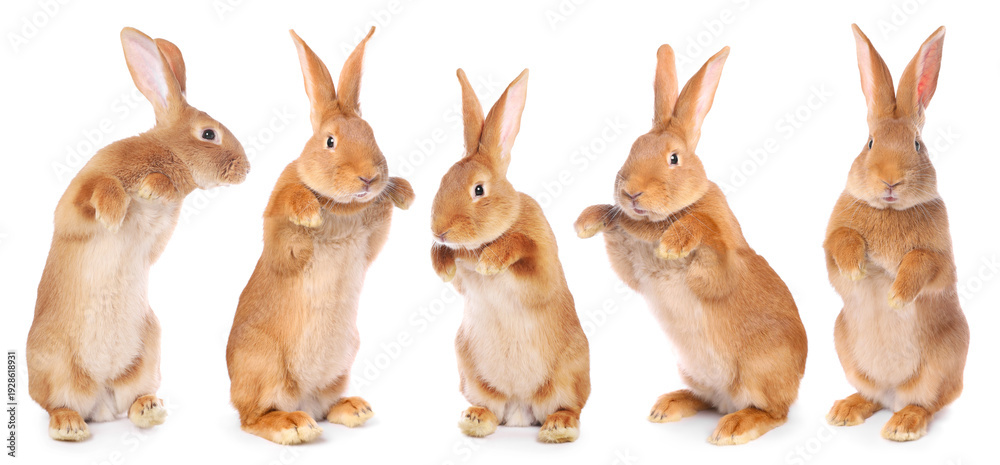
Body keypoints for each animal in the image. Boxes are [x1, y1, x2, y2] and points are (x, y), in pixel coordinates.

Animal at [26, 27, 250, 441]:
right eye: (208, 134)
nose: (246, 168)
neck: (166, 155)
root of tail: (99, 401)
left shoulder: (158, 230)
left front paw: (152, 187)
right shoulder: (75, 206)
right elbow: (102, 189)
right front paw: (117, 210)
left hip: (149, 350)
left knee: (132, 400)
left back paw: (151, 411)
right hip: (53, 365)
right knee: (55, 404)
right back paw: (70, 427)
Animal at [225, 27, 414, 445]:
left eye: (371, 134)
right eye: (330, 141)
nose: (368, 177)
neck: (341, 206)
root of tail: (304, 400)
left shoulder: (370, 240)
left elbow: (383, 218)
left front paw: (404, 193)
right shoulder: (281, 239)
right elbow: (288, 212)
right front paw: (309, 212)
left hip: (341, 364)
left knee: (326, 407)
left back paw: (355, 409)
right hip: (264, 364)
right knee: (252, 417)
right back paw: (292, 425)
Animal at [430, 69, 590, 443]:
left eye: (478, 189)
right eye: (443, 180)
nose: (439, 229)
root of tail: (520, 409)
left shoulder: (541, 265)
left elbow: (521, 244)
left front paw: (490, 261)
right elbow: (449, 265)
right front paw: (443, 266)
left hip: (569, 374)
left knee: (570, 407)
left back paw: (558, 427)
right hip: (471, 372)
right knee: (492, 409)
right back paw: (474, 419)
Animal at [573, 45, 807, 445]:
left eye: (673, 158)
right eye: (633, 148)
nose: (631, 192)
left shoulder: (721, 264)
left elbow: (705, 232)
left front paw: (674, 241)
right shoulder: (633, 268)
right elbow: (615, 231)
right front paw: (587, 221)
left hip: (761, 372)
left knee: (775, 412)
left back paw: (733, 428)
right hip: (693, 371)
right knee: (707, 399)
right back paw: (666, 407)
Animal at [822, 25, 968, 442]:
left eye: (917, 145)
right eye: (869, 143)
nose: (890, 181)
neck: (888, 210)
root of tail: (893, 394)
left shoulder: (940, 261)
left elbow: (921, 263)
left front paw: (896, 297)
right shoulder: (830, 243)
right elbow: (842, 243)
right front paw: (856, 268)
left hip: (942, 363)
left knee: (927, 403)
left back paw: (903, 425)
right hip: (848, 351)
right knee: (871, 396)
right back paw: (845, 411)